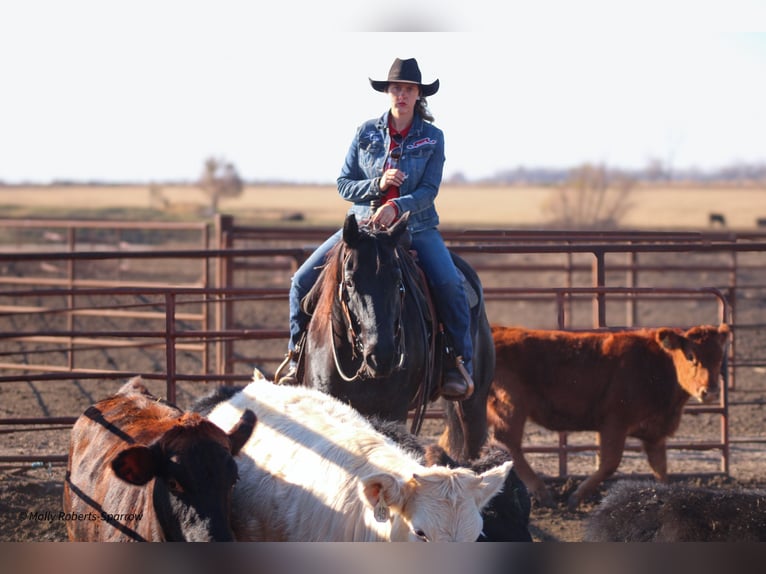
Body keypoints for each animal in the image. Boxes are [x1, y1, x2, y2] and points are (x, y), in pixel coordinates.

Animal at [486, 326, 732, 510]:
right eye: (691, 356)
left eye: (719, 357)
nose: (710, 392)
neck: (658, 365)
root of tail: (497, 331)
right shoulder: (615, 423)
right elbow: (610, 463)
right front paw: (576, 497)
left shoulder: (655, 433)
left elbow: (660, 468)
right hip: (511, 406)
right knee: (508, 443)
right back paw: (541, 492)